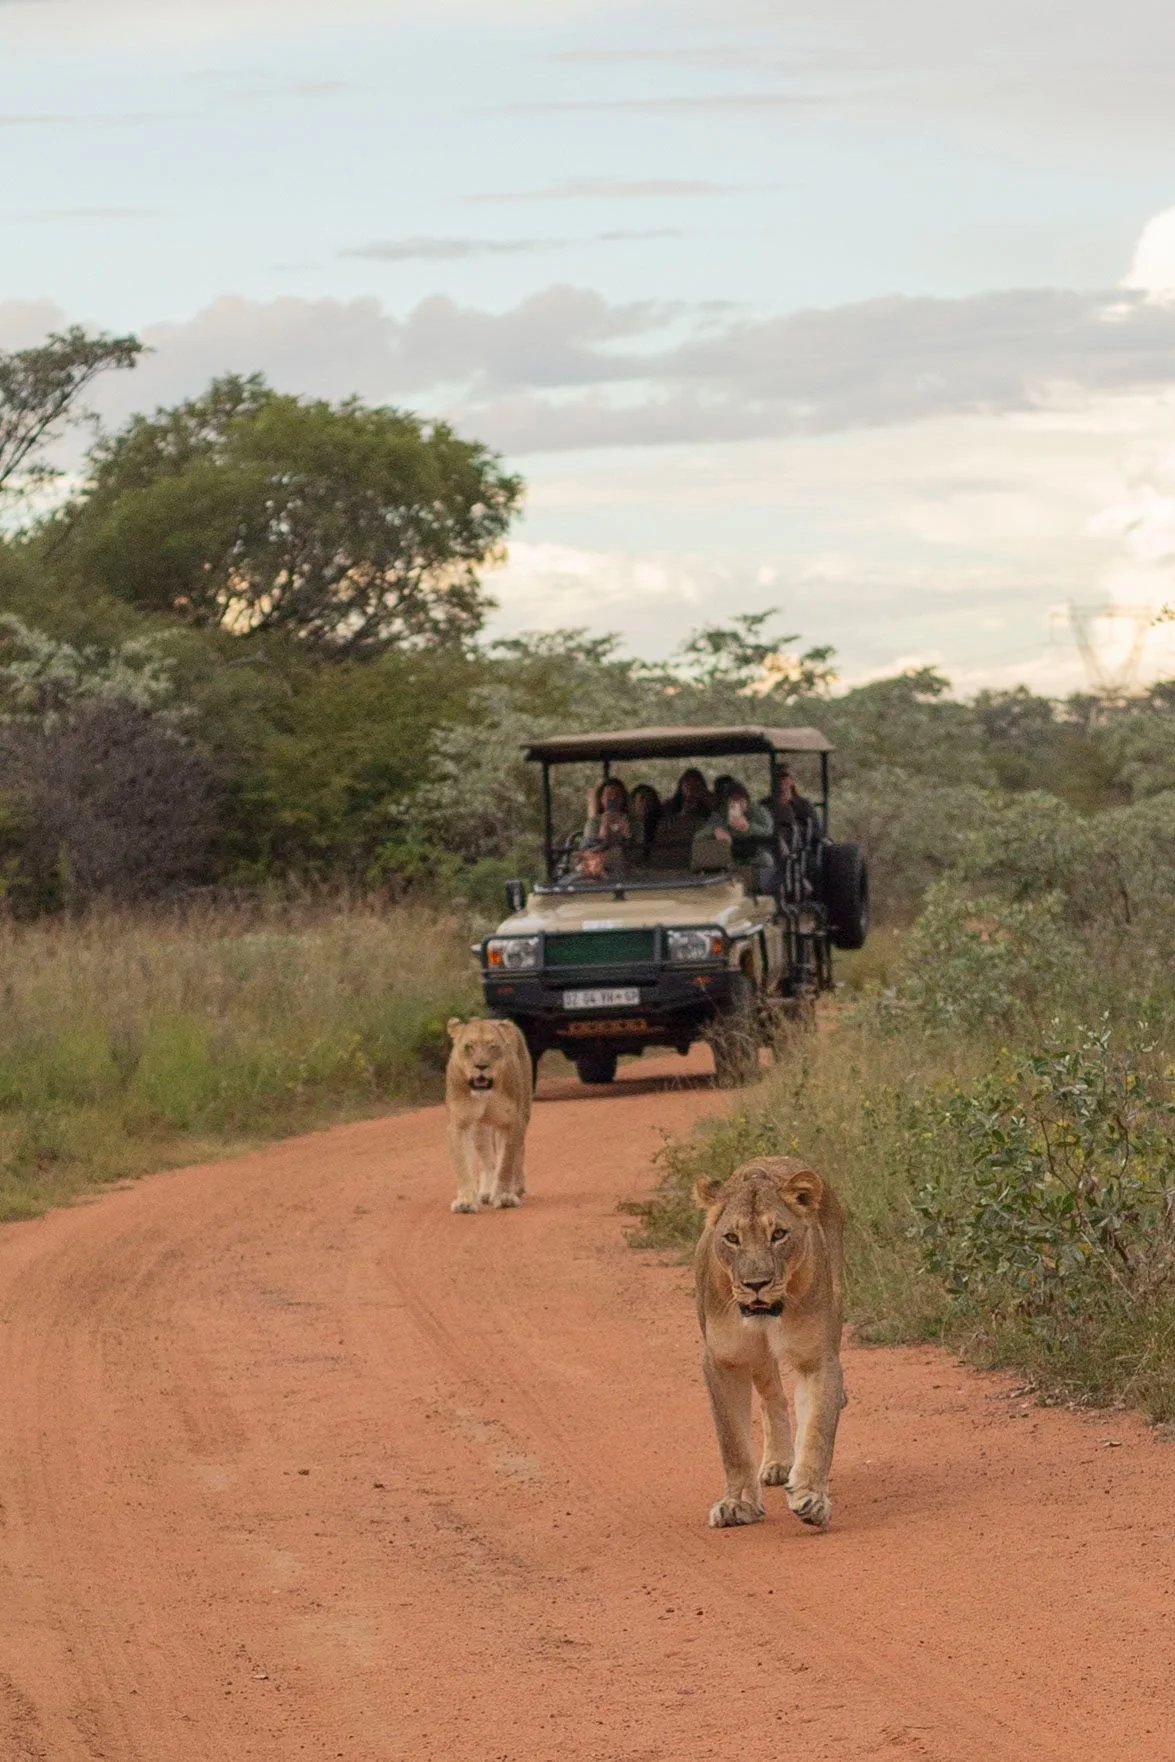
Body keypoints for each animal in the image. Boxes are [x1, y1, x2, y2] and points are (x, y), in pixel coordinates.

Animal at [445, 1018, 533, 1213]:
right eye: (468, 1046)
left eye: (493, 1047)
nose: (481, 1066)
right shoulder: (459, 1124)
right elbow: (463, 1164)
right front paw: (465, 1201)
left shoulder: (510, 1123)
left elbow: (506, 1162)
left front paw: (504, 1196)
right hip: (480, 1128)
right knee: (488, 1160)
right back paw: (485, 1192)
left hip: (524, 1113)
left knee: (519, 1151)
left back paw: (515, 1188)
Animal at [694, 1156, 845, 1531]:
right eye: (732, 1238)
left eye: (778, 1234)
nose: (756, 1284)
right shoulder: (723, 1360)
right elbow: (731, 1440)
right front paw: (737, 1504)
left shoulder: (818, 1358)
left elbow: (818, 1428)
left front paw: (812, 1498)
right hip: (758, 1358)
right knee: (772, 1397)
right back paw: (778, 1464)